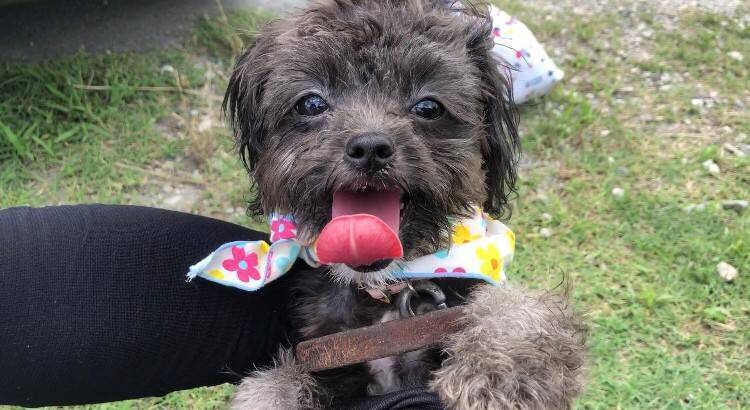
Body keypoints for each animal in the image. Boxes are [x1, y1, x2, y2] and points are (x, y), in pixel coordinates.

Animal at [224, 0, 586, 408]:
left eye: (429, 107)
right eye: (311, 103)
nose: (370, 147)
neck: (386, 296)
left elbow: (522, 310)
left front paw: (497, 376)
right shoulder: (319, 354)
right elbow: (273, 384)